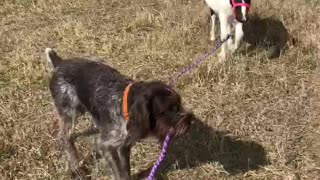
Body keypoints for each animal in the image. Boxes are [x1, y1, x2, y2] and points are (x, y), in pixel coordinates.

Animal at [45, 48, 195, 179]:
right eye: (168, 109)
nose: (190, 120)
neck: (124, 106)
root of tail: (59, 63)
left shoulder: (124, 145)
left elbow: (125, 169)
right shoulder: (107, 146)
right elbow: (118, 171)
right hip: (69, 112)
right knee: (65, 138)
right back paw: (76, 169)